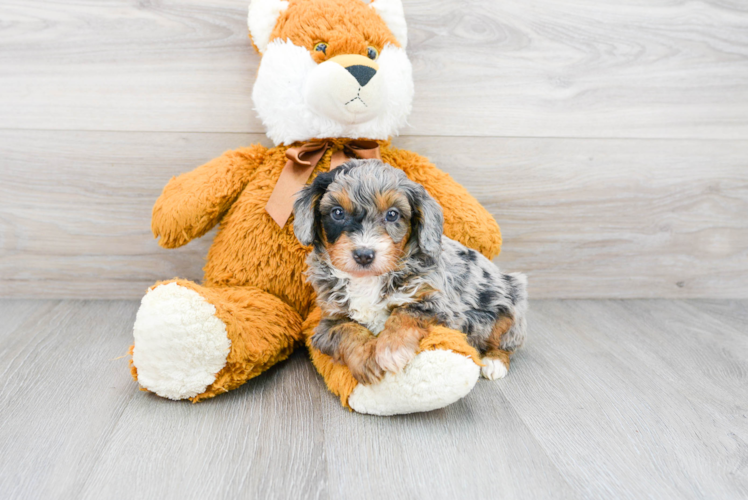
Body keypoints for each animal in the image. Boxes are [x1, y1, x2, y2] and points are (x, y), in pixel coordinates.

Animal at [292, 158, 524, 384]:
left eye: (392, 215)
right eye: (337, 213)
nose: (364, 255)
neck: (368, 280)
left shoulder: (437, 304)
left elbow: (405, 313)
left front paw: (390, 350)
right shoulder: (329, 320)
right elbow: (347, 330)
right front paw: (367, 358)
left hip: (511, 308)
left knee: (505, 342)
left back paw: (495, 362)